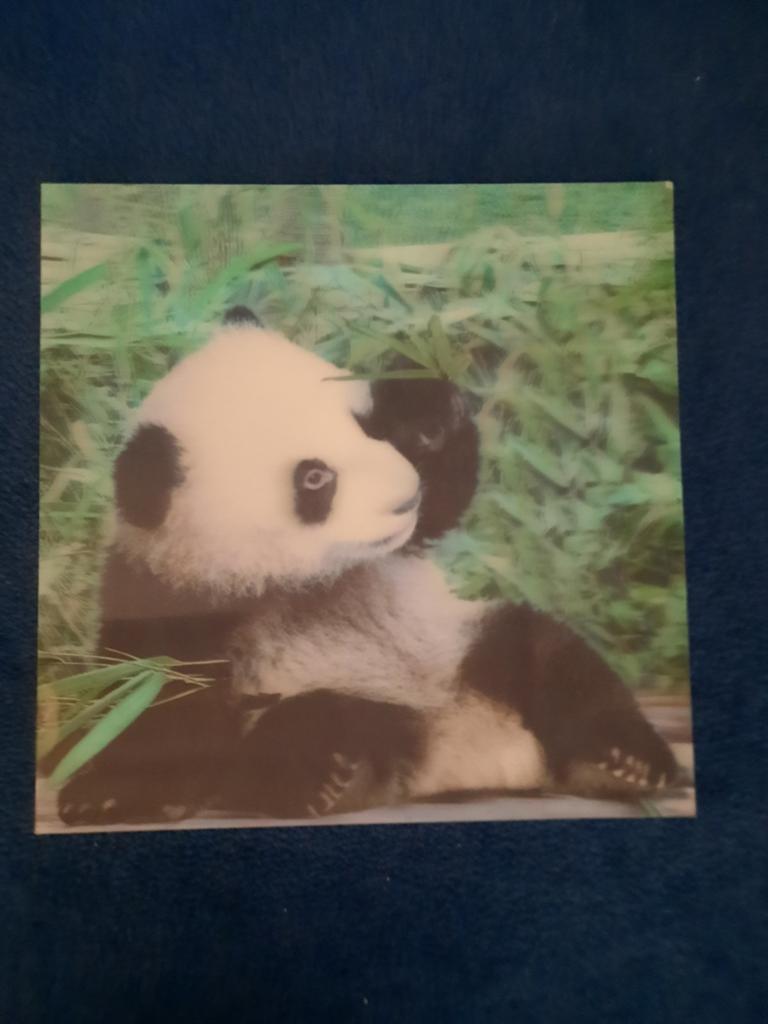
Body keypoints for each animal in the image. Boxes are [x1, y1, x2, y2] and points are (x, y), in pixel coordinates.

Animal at [56, 305, 678, 826]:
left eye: (365, 427)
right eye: (315, 478)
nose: (405, 495)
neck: (301, 581)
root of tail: (470, 750)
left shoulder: (399, 550)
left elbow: (443, 498)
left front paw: (426, 399)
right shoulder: (170, 589)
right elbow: (153, 694)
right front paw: (106, 794)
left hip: (466, 646)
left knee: (553, 659)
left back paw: (622, 760)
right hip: (365, 701)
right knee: (310, 728)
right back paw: (327, 772)